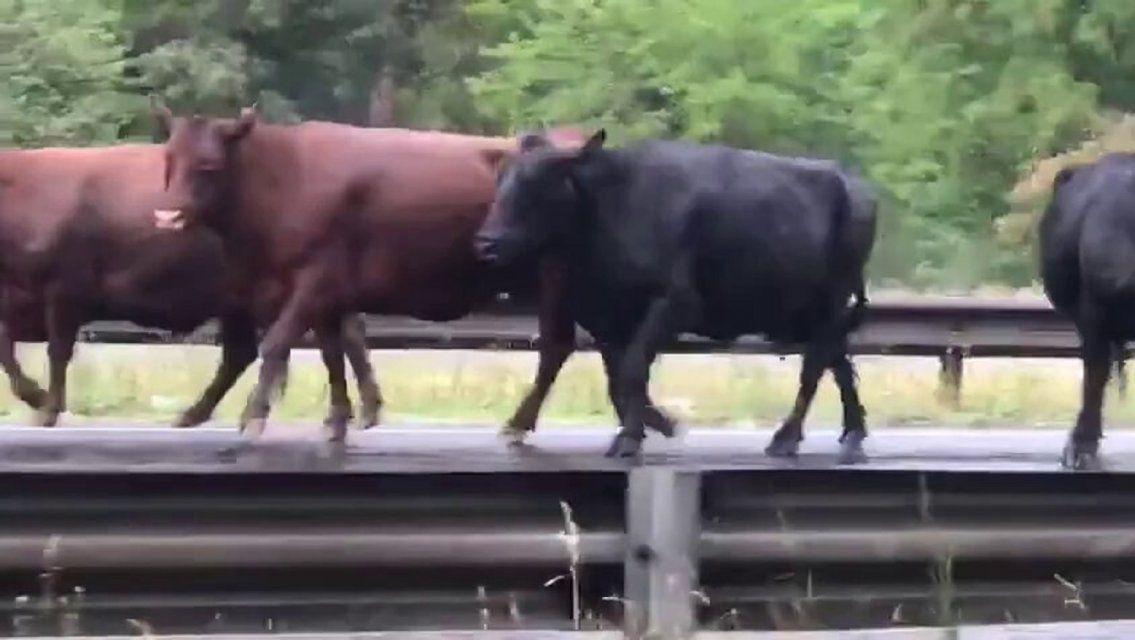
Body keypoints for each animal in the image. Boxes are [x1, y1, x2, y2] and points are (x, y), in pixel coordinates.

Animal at [0, 143, 381, 435]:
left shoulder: (64, 290)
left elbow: (57, 352)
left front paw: (47, 408)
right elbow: (6, 348)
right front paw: (37, 397)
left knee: (332, 336)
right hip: (241, 303)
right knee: (249, 352)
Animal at [155, 106, 676, 444]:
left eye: (209, 165)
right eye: (169, 160)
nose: (166, 216)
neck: (286, 178)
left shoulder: (314, 280)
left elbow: (278, 342)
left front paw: (254, 416)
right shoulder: (327, 292)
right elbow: (332, 351)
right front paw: (338, 420)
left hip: (556, 279)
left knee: (557, 347)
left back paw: (522, 423)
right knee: (602, 346)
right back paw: (650, 418)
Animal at [476, 132, 876, 460]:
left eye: (536, 183)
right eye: (500, 179)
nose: (487, 242)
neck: (609, 206)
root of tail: (854, 184)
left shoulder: (674, 303)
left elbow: (633, 369)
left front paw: (630, 439)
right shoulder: (605, 319)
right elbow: (617, 378)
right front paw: (651, 426)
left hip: (829, 303)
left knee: (814, 367)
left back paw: (786, 438)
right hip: (808, 313)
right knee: (840, 362)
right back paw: (853, 434)